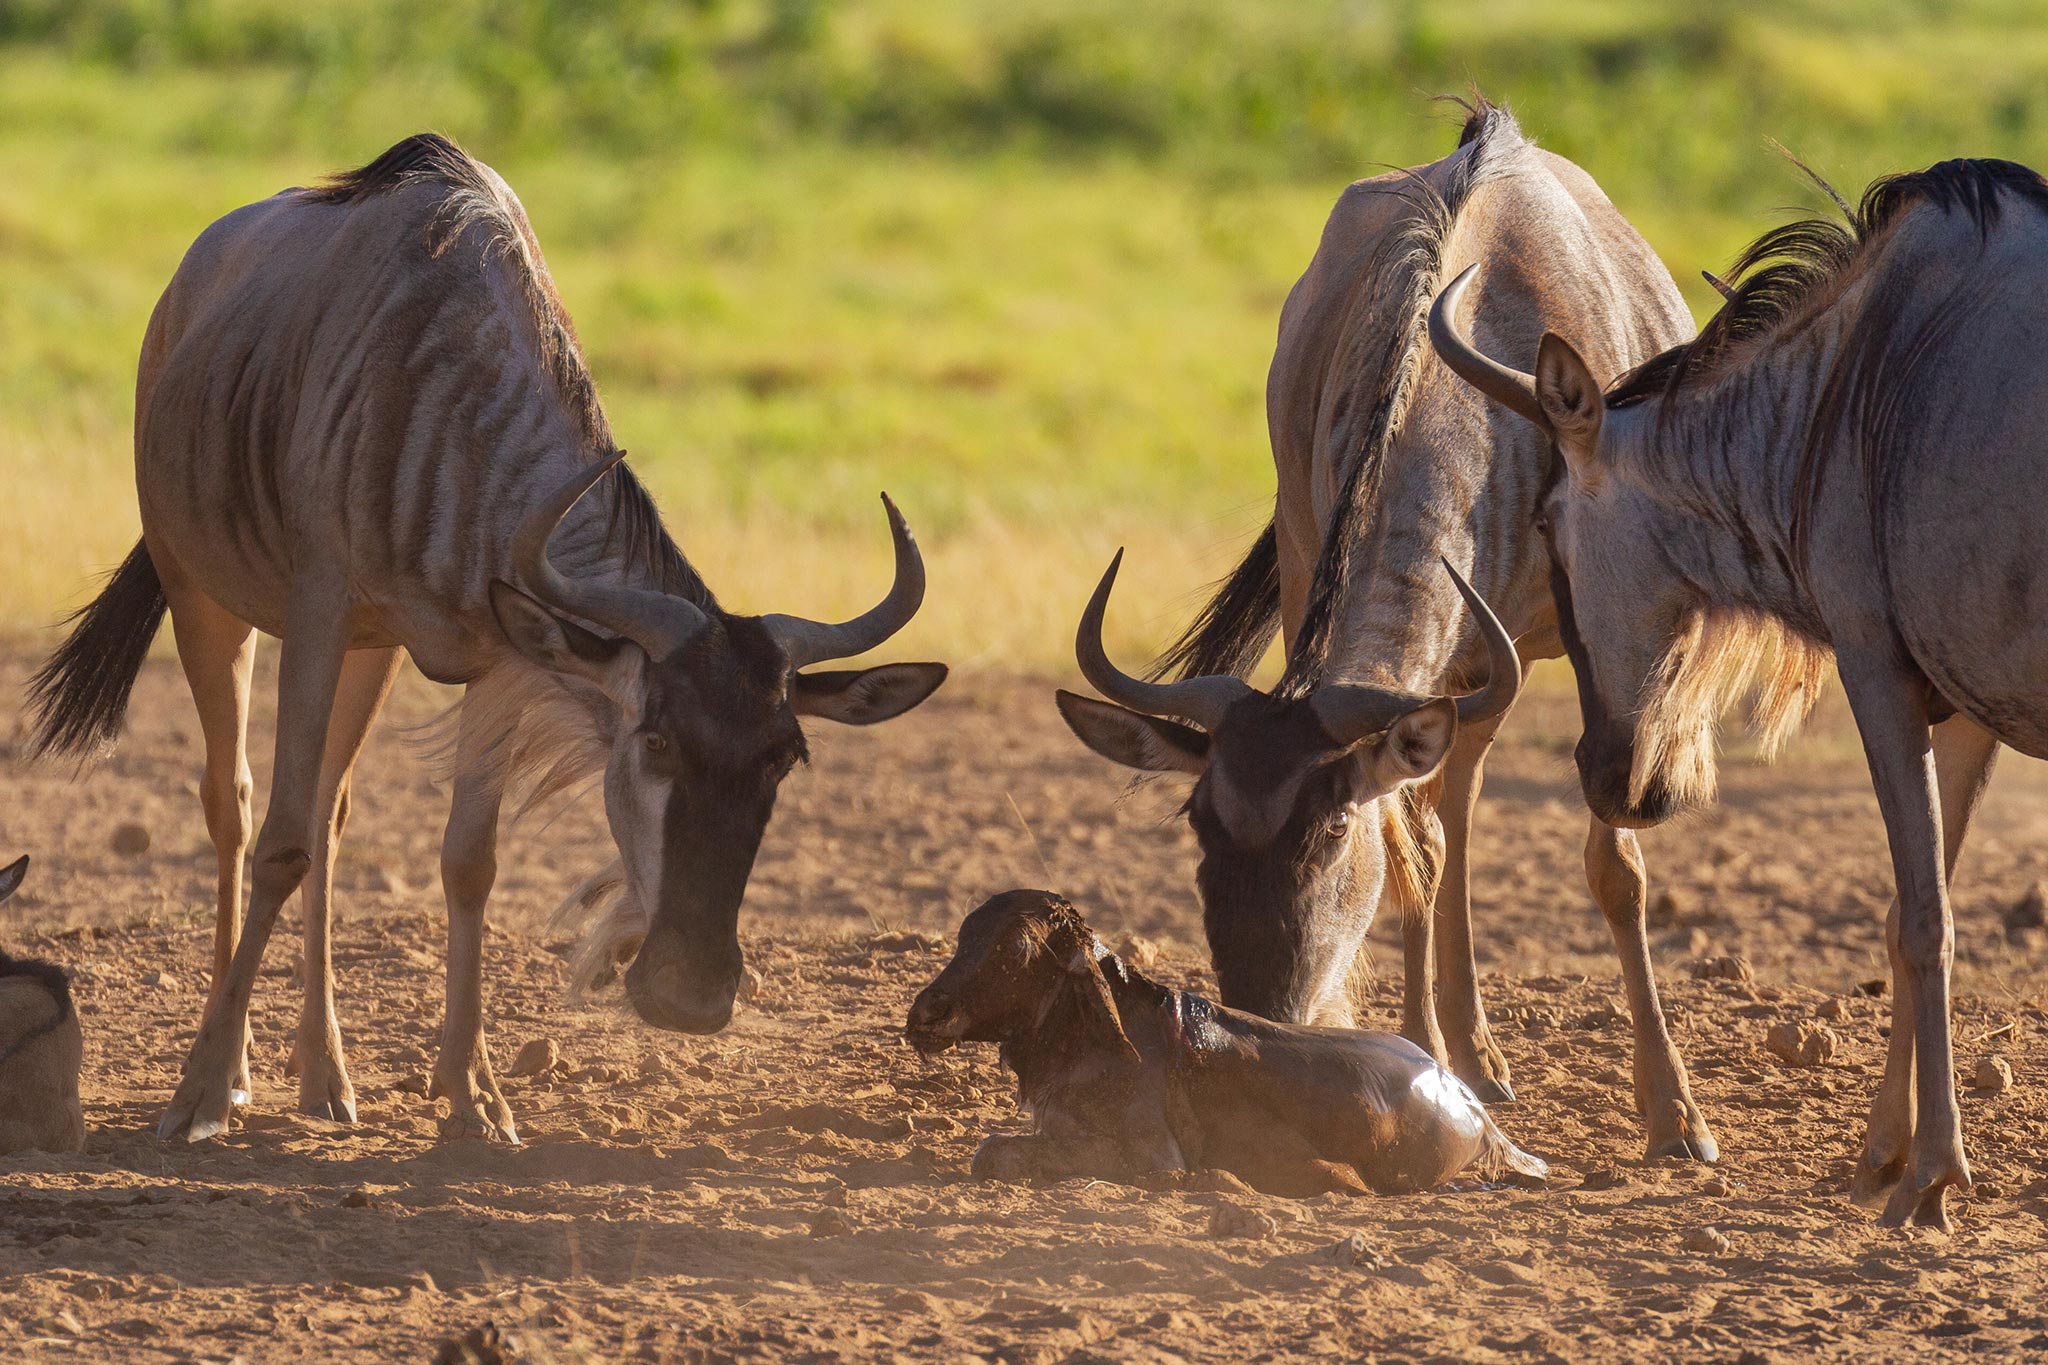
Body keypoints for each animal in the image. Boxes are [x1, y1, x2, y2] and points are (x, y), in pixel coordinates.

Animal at [905, 892, 1540, 1186]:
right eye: (964, 936)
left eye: (1014, 948)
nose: (926, 1012)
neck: (1088, 1039)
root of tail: (1477, 1112)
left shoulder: (1151, 1157)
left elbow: (994, 1151)